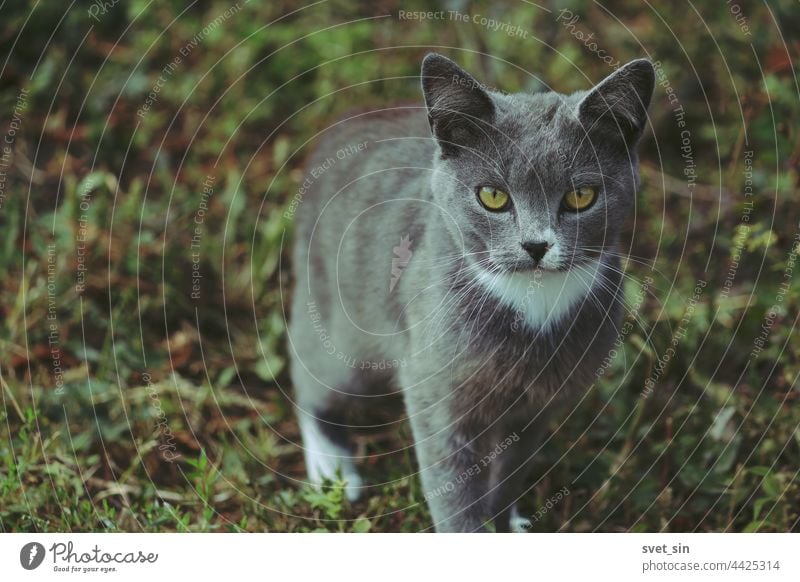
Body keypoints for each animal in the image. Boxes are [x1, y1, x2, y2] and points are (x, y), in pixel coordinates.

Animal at [290, 52, 652, 532]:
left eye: (581, 196)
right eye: (493, 196)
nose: (536, 245)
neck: (533, 303)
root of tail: (338, 128)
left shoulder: (543, 402)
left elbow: (511, 467)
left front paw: (506, 520)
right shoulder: (438, 389)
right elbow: (455, 488)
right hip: (343, 322)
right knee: (313, 371)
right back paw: (331, 466)